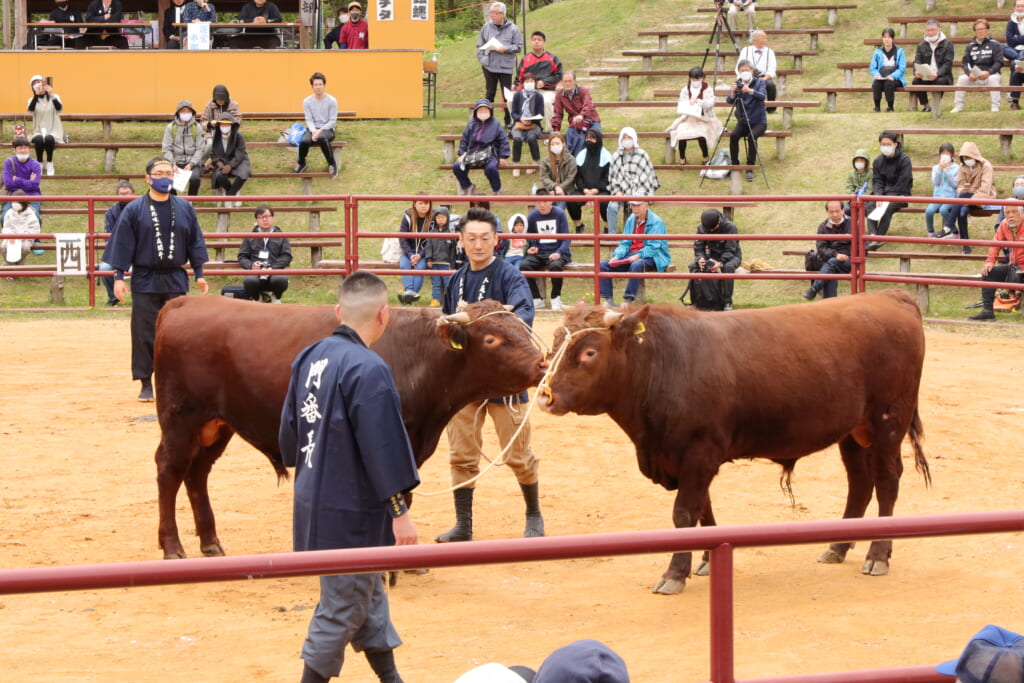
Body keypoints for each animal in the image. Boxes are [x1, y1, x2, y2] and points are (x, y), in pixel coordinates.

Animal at [151, 296, 544, 557]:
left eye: (521, 329)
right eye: (492, 338)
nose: (542, 364)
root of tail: (183, 302)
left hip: (216, 425)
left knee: (197, 473)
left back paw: (210, 542)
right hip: (180, 419)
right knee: (170, 470)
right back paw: (173, 545)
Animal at [540, 290, 933, 593]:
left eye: (589, 352)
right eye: (556, 342)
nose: (546, 397)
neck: (663, 362)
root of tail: (889, 296)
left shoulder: (698, 454)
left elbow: (684, 513)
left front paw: (674, 574)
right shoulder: (690, 458)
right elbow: (703, 509)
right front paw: (706, 559)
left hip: (888, 423)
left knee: (886, 481)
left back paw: (877, 554)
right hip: (853, 432)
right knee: (859, 482)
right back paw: (837, 546)